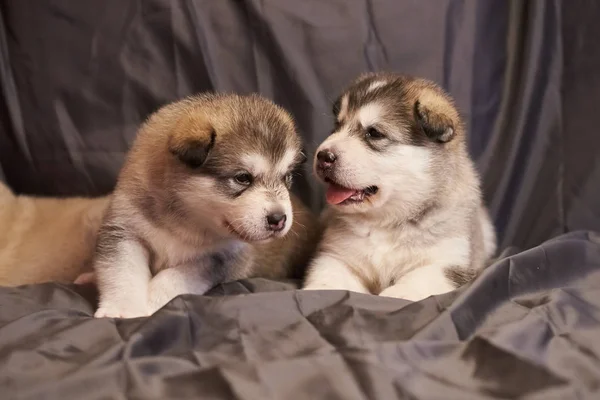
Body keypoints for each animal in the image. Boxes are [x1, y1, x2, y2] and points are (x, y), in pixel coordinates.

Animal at [304, 73, 496, 302]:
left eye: (374, 133)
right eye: (337, 126)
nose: (323, 156)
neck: (387, 221)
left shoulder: (450, 261)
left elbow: (417, 282)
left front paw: (396, 294)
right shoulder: (336, 253)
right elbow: (329, 275)